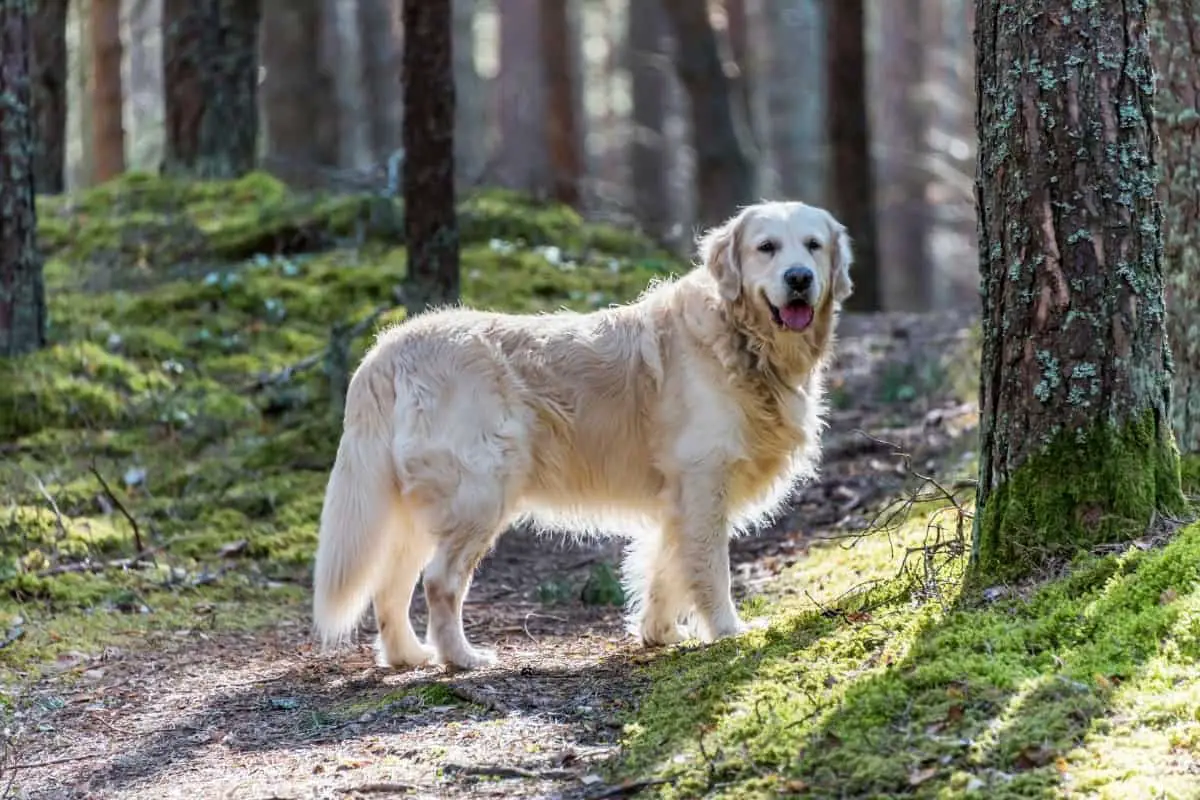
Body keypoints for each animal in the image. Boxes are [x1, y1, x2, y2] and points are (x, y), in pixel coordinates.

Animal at [309, 199, 854, 671]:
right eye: (766, 247)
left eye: (813, 245)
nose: (799, 278)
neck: (742, 341)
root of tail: (389, 347)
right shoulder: (703, 481)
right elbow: (708, 568)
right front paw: (726, 631)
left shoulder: (678, 497)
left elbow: (664, 568)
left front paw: (659, 632)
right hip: (481, 492)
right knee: (440, 581)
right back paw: (461, 657)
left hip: (418, 509)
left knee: (390, 586)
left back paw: (408, 656)